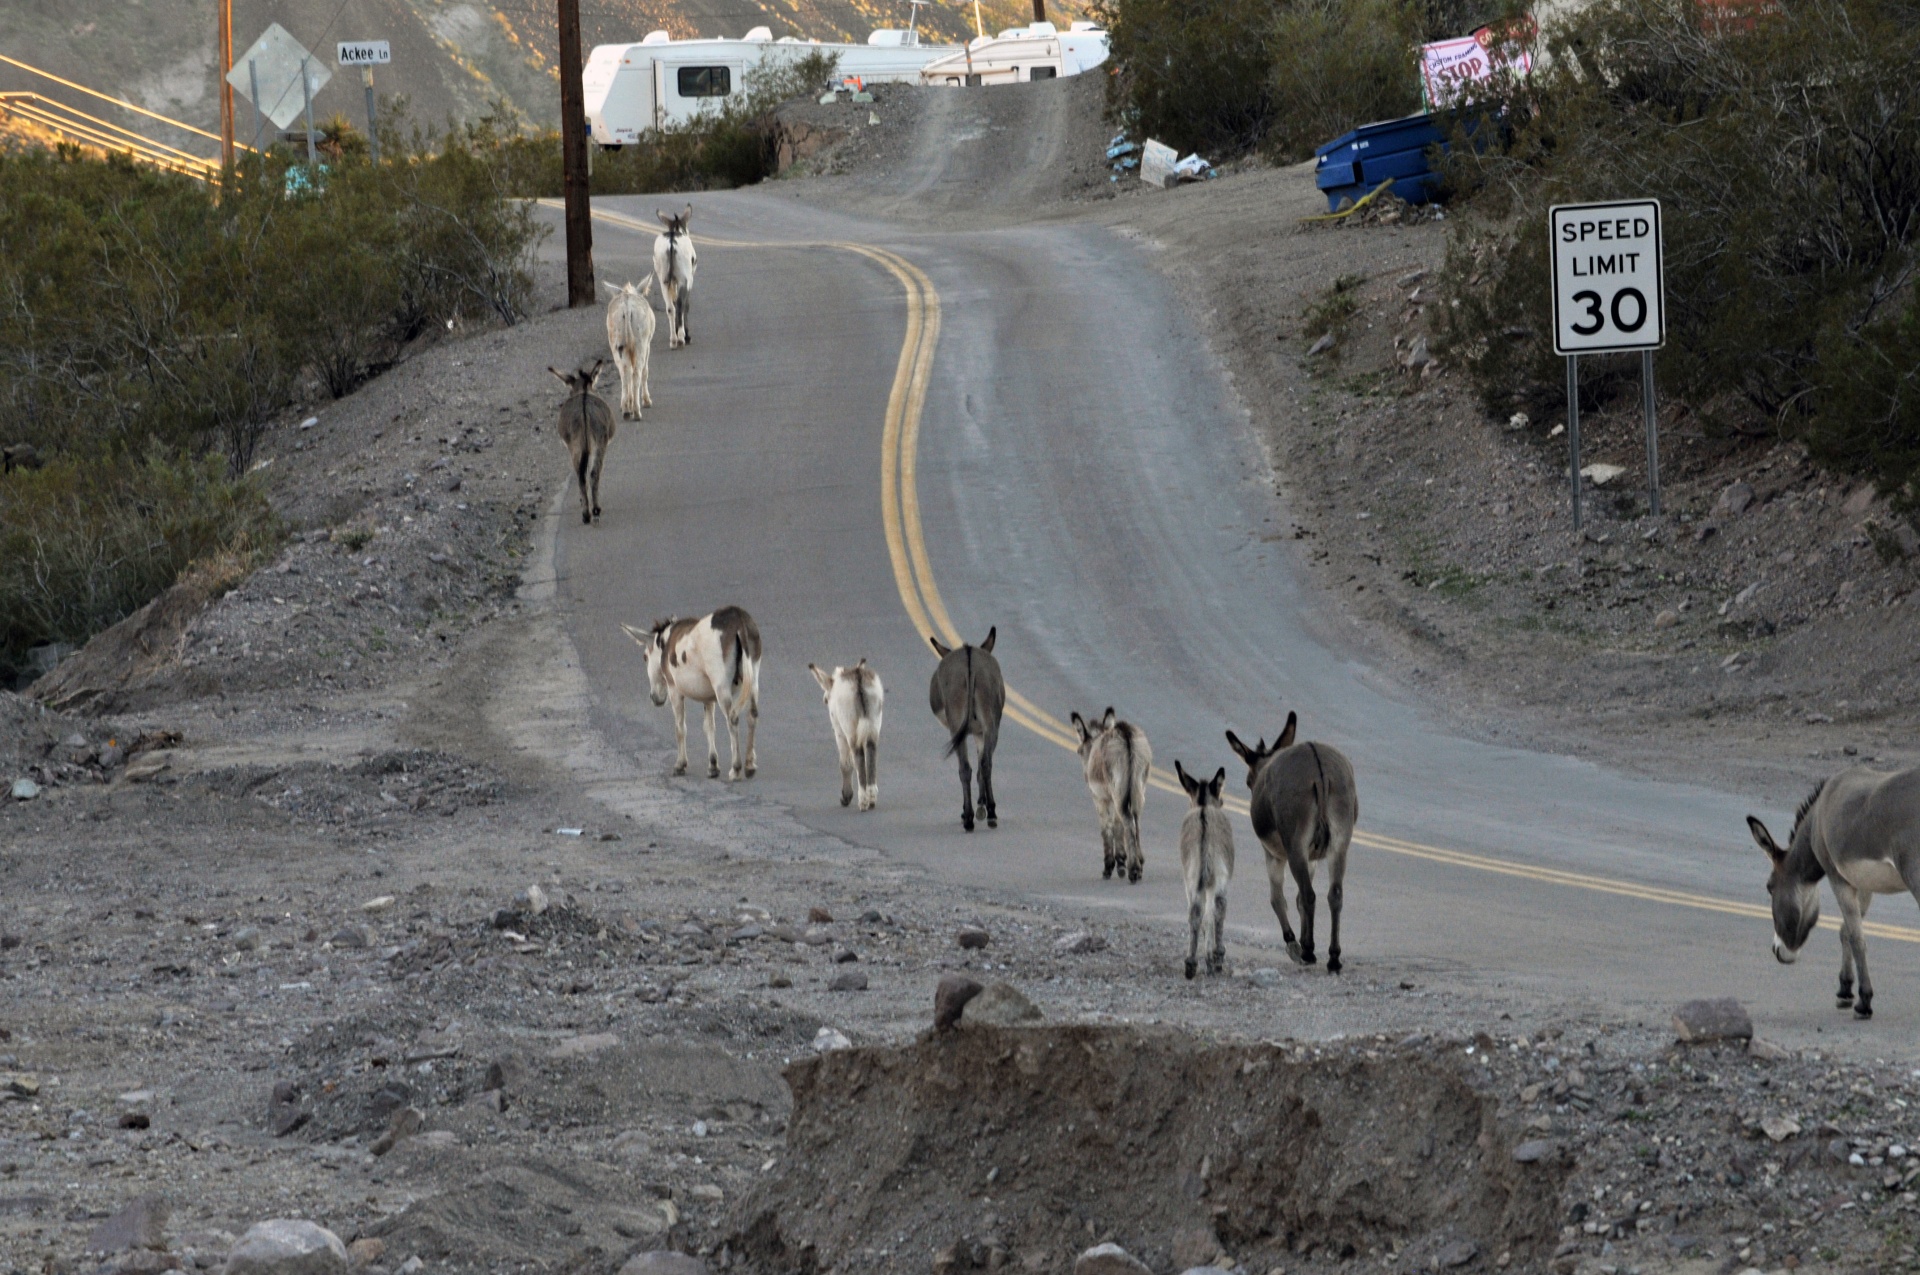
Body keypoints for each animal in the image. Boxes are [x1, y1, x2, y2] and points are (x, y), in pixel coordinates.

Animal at [1175, 760, 1236, 979]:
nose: (1223, 801)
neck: (1203, 805)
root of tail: (1204, 819)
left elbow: (1203, 917)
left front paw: (1207, 959)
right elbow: (1210, 917)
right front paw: (1212, 958)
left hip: (1193, 875)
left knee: (1195, 911)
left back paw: (1191, 964)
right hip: (1218, 875)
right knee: (1217, 906)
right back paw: (1217, 957)